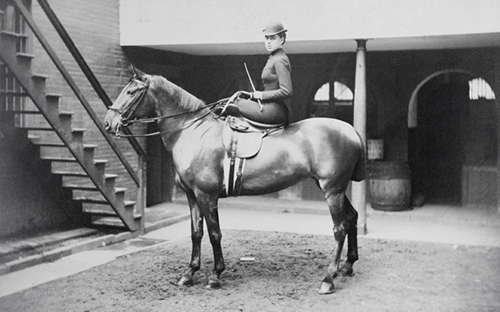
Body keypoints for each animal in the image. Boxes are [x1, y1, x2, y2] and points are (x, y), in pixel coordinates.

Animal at [103, 66, 366, 294]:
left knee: (339, 229)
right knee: (352, 217)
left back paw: (328, 278)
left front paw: (215, 275)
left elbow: (214, 233)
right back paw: (348, 265)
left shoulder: (206, 196)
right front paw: (189, 273)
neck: (193, 132)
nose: (108, 122)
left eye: (131, 92)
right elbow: (196, 232)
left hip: (332, 190)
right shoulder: (192, 195)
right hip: (333, 188)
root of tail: (351, 130)